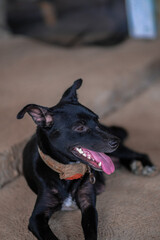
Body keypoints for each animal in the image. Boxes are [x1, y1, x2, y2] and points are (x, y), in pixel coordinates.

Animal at [16, 79, 156, 239]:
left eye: (97, 119)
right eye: (80, 128)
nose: (116, 141)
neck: (68, 172)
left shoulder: (88, 204)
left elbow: (91, 231)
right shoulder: (37, 217)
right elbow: (50, 236)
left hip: (120, 151)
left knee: (138, 154)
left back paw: (144, 166)